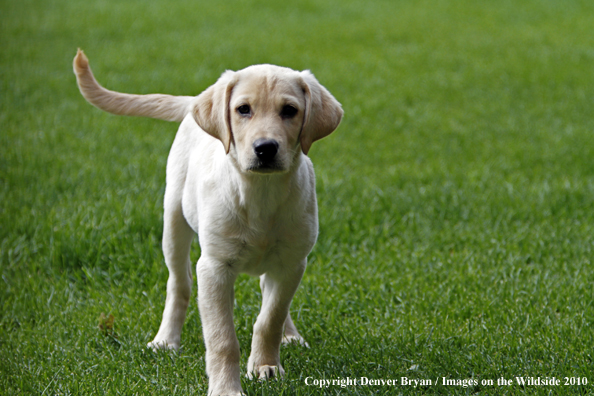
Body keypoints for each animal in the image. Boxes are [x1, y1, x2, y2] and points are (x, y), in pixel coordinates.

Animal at [73, 50, 342, 396]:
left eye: (290, 111)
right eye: (243, 109)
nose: (265, 148)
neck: (259, 193)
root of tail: (192, 103)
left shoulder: (293, 262)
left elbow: (270, 316)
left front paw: (265, 364)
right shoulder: (214, 267)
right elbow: (222, 338)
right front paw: (226, 388)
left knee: (268, 293)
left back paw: (290, 334)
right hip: (173, 223)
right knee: (179, 284)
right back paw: (165, 340)